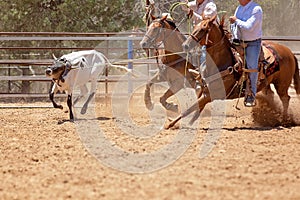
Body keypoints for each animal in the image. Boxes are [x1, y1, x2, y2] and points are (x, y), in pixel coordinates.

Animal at [165, 15, 298, 128]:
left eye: (203, 28)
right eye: (195, 27)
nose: (185, 45)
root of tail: (289, 52)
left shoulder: (210, 95)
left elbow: (190, 109)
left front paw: (169, 124)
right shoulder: (204, 89)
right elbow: (196, 108)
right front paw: (188, 123)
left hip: (282, 84)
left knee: (286, 98)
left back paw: (284, 120)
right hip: (267, 84)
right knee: (271, 95)